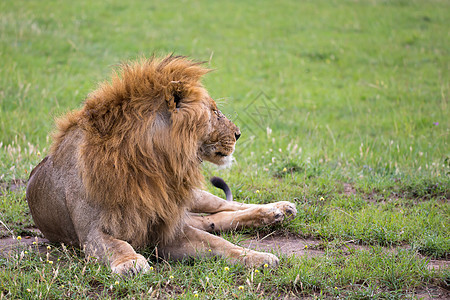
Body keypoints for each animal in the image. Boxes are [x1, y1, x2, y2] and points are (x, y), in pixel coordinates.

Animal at [26, 55, 298, 276]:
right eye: (214, 112)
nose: (238, 134)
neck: (152, 164)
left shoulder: (166, 227)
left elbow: (221, 244)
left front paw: (259, 257)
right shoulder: (91, 232)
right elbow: (116, 244)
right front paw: (130, 262)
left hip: (192, 197)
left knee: (226, 206)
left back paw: (278, 209)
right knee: (214, 219)